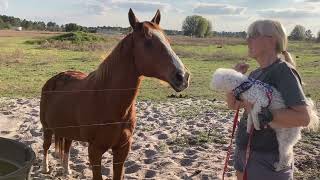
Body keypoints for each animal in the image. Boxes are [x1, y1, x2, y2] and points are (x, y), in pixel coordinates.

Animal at [40, 8, 190, 180]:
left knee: (67, 147)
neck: (107, 100)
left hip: (67, 130)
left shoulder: (122, 149)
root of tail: (54, 79)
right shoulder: (95, 150)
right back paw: (45, 168)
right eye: (148, 42)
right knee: (46, 146)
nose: (183, 77)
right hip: (47, 128)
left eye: (167, 40)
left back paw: (67, 170)